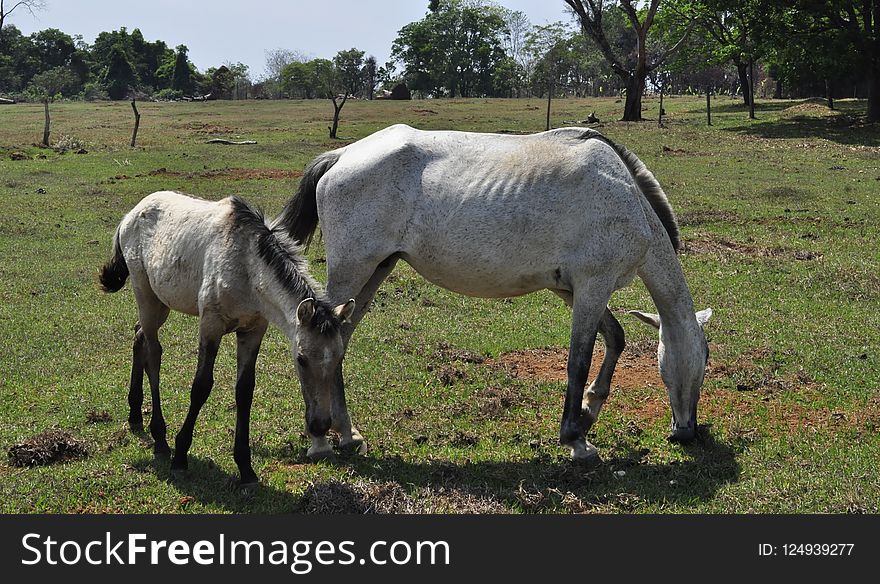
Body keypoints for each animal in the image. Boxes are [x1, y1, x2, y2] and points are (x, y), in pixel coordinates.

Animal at [99, 192, 354, 484]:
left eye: (339, 357)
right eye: (300, 359)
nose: (320, 425)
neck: (247, 267)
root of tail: (130, 214)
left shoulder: (253, 331)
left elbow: (244, 391)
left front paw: (245, 468)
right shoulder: (210, 325)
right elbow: (201, 387)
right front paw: (181, 455)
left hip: (162, 302)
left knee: (139, 337)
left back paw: (134, 415)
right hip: (146, 296)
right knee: (153, 354)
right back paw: (160, 439)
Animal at [278, 125, 712, 464]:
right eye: (705, 359)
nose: (687, 432)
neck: (625, 196)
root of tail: (341, 156)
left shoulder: (572, 290)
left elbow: (615, 339)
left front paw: (589, 411)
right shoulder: (594, 286)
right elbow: (578, 361)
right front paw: (576, 439)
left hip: (374, 273)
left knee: (341, 342)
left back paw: (348, 435)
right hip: (352, 272)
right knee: (317, 343)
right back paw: (320, 437)